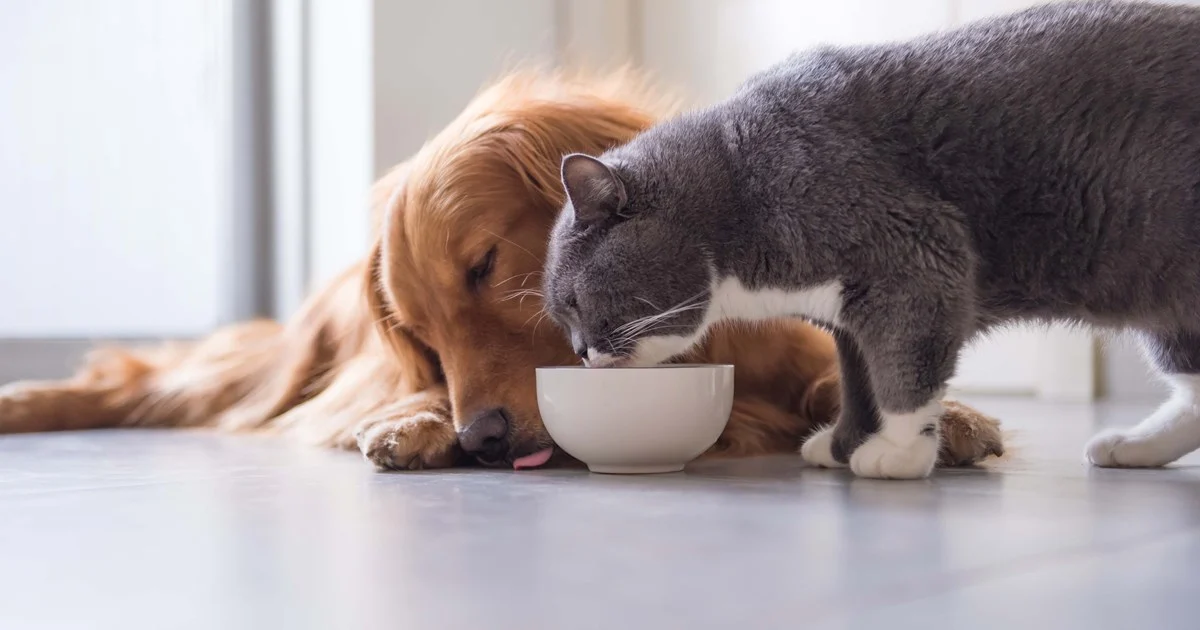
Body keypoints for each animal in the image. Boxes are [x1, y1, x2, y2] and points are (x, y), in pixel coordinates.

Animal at [0, 71, 1003, 468]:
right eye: (421, 333)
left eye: (485, 266)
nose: (480, 437)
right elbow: (399, 399)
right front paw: (413, 426)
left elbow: (847, 380)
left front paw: (949, 418)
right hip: (266, 368)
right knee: (139, 381)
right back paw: (26, 402)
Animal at [540, 0, 1200, 480]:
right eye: (560, 317)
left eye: (572, 302)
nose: (580, 351)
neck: (738, 185)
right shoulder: (846, 314)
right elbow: (859, 383)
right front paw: (843, 443)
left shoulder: (916, 258)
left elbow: (902, 372)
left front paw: (902, 453)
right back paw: (1131, 446)